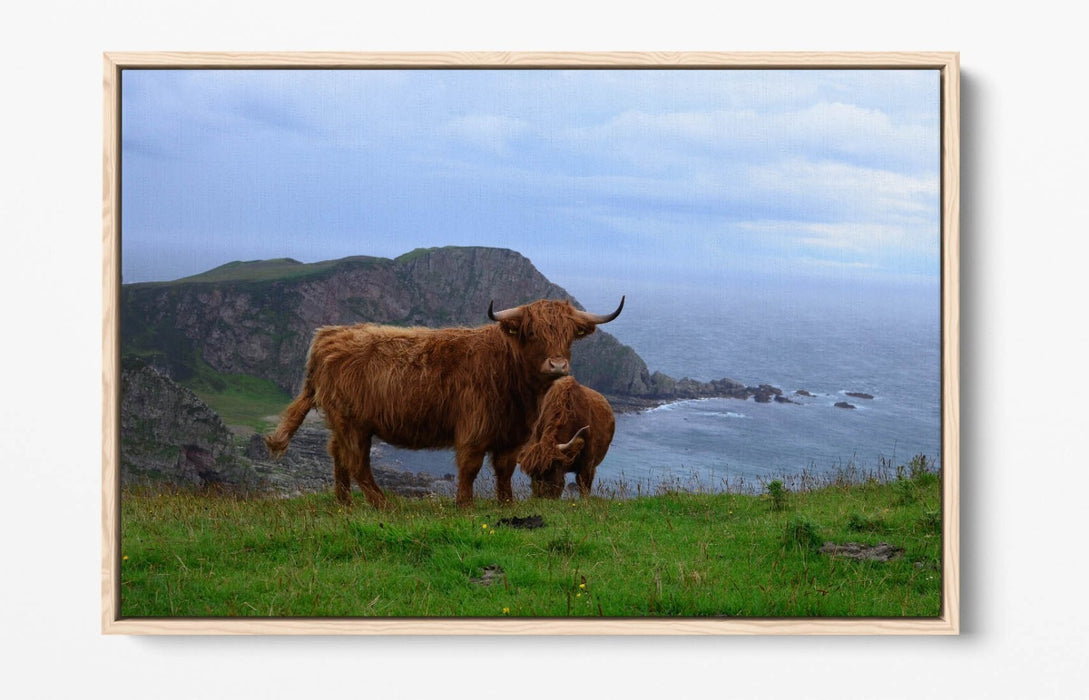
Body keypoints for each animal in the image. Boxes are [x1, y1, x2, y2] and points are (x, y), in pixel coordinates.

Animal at [264, 297, 624, 508]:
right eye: (532, 332)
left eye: (569, 334)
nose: (558, 365)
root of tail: (328, 335)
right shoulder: (474, 429)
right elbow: (470, 468)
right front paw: (464, 506)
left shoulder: (512, 436)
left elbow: (504, 471)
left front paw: (506, 505)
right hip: (354, 423)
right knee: (356, 462)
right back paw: (384, 504)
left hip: (342, 422)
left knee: (337, 455)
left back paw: (344, 504)